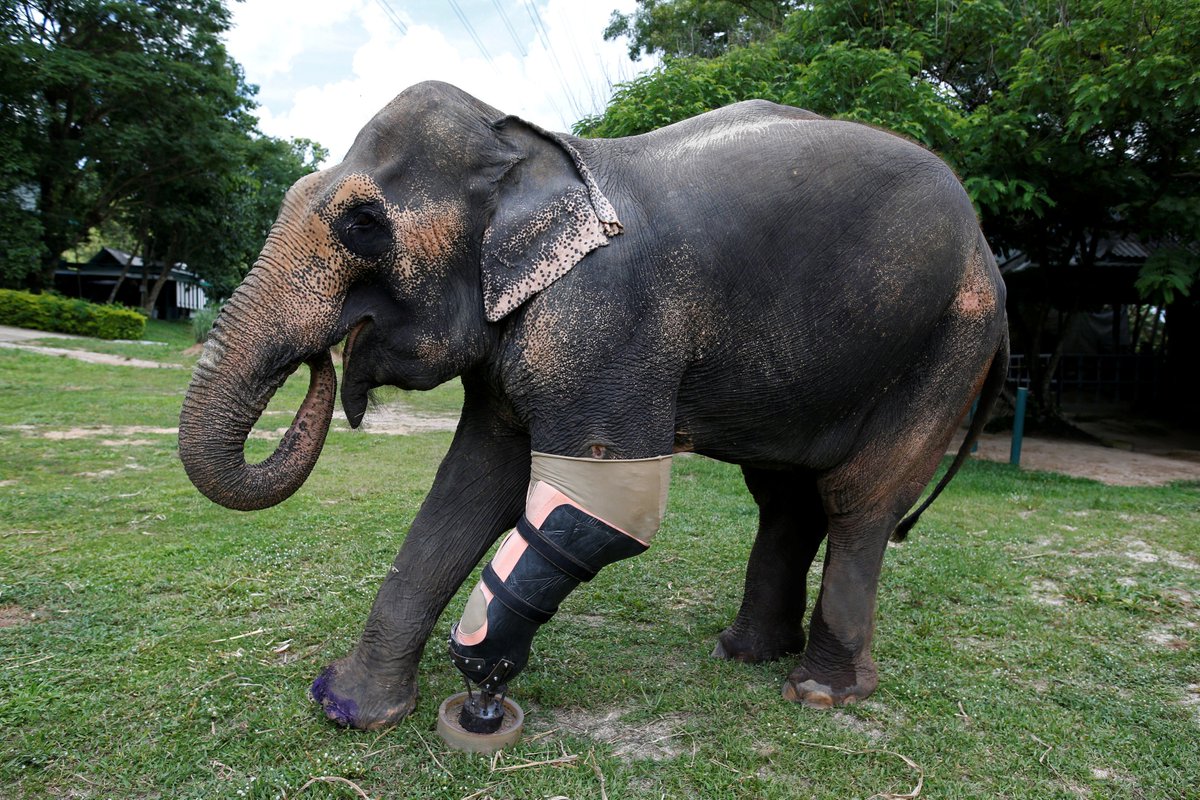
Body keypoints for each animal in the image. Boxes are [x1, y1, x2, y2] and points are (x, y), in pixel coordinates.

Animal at [178, 81, 1008, 731]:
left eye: (362, 226)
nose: (325, 359)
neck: (529, 146)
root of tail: (989, 255)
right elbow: (472, 485)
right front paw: (350, 710)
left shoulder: (608, 318)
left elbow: (610, 503)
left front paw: (481, 666)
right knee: (785, 495)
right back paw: (743, 653)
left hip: (948, 343)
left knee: (857, 495)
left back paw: (820, 693)